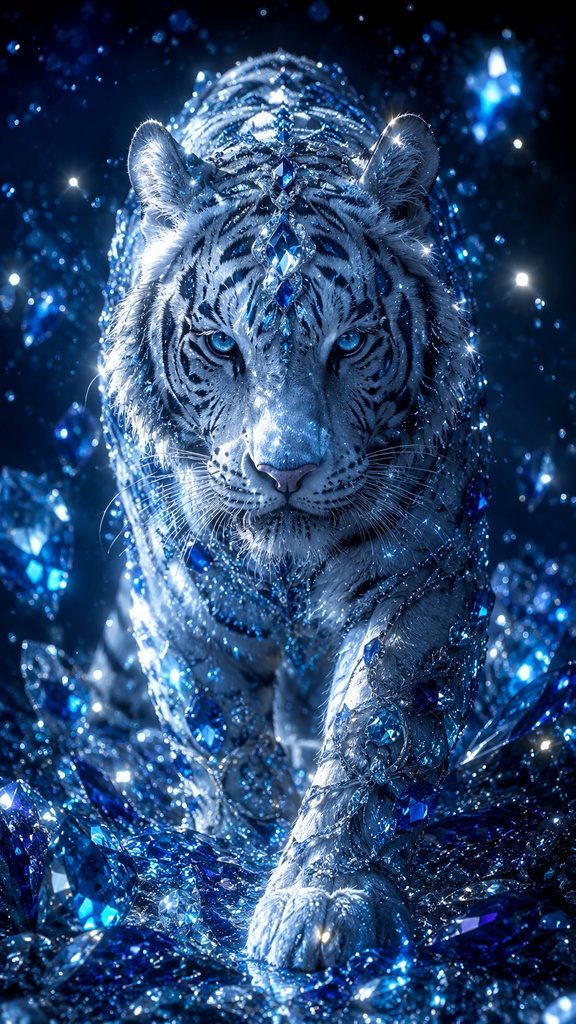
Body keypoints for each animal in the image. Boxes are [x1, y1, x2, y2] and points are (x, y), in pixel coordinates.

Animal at [95, 50, 492, 972]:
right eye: (221, 345)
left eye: (349, 343)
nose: (286, 469)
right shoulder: (177, 607)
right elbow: (224, 742)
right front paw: (244, 849)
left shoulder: (423, 580)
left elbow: (368, 735)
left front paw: (318, 899)